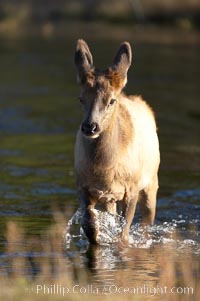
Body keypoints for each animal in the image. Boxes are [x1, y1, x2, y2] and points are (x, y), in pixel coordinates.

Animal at [74, 38, 160, 244]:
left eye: (111, 101)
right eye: (81, 99)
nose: (90, 127)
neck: (104, 170)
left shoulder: (133, 187)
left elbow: (124, 232)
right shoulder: (83, 185)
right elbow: (89, 223)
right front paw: (97, 238)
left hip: (152, 179)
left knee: (148, 219)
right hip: (111, 198)